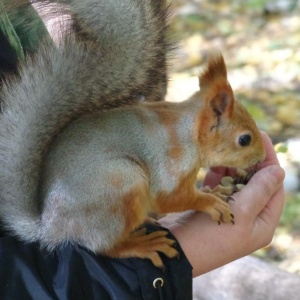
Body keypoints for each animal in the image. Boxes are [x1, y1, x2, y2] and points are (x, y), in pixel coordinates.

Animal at [0, 0, 264, 268]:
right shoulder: (170, 166)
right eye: (244, 139)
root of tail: (51, 228)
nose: (261, 157)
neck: (188, 133)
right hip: (121, 184)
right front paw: (208, 201)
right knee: (104, 247)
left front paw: (214, 191)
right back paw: (142, 245)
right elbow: (169, 199)